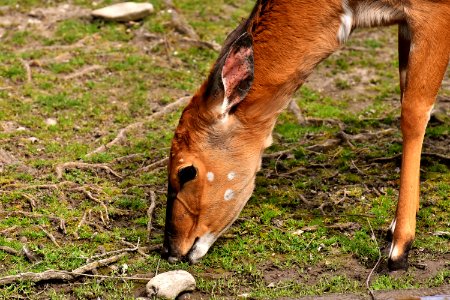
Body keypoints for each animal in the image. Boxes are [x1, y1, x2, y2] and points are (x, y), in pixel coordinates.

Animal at [162, 0, 450, 270]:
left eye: (186, 171)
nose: (170, 250)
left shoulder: (431, 13)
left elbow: (413, 112)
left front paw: (399, 250)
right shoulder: (405, 24)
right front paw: (394, 225)